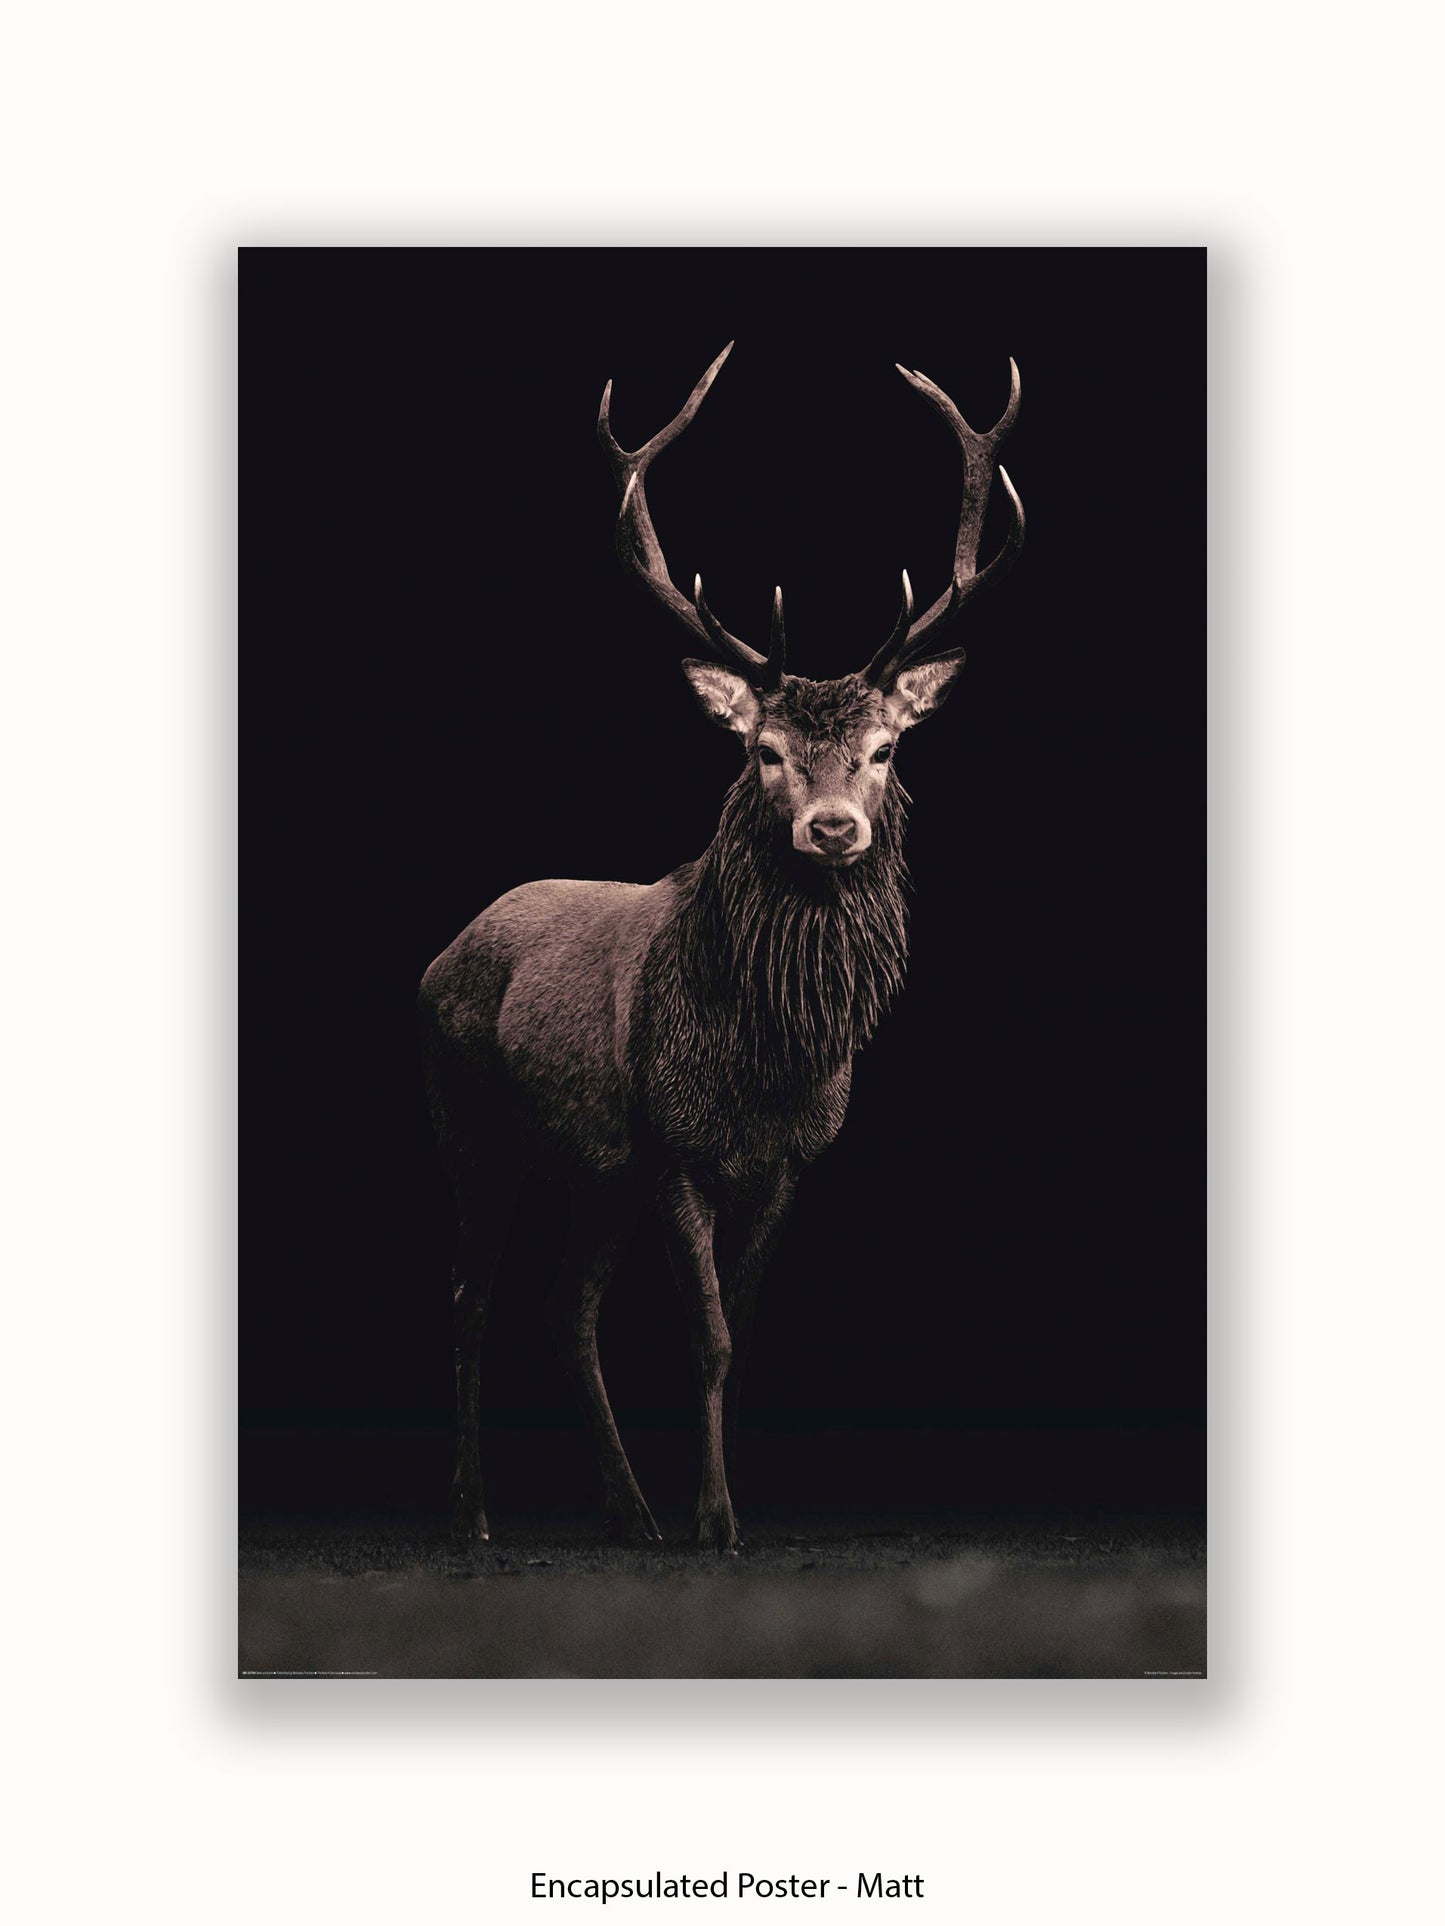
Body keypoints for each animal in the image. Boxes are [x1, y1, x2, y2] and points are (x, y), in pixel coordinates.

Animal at [418, 343, 1024, 1552]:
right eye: (764, 750)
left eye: (884, 749)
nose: (831, 829)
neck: (764, 1064)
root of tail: (438, 957)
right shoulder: (673, 1147)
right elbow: (703, 1333)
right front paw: (715, 1519)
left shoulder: (785, 1162)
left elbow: (738, 1341)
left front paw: (716, 1502)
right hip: (473, 1122)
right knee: (471, 1296)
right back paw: (475, 1511)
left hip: (592, 1166)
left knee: (565, 1305)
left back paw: (627, 1509)